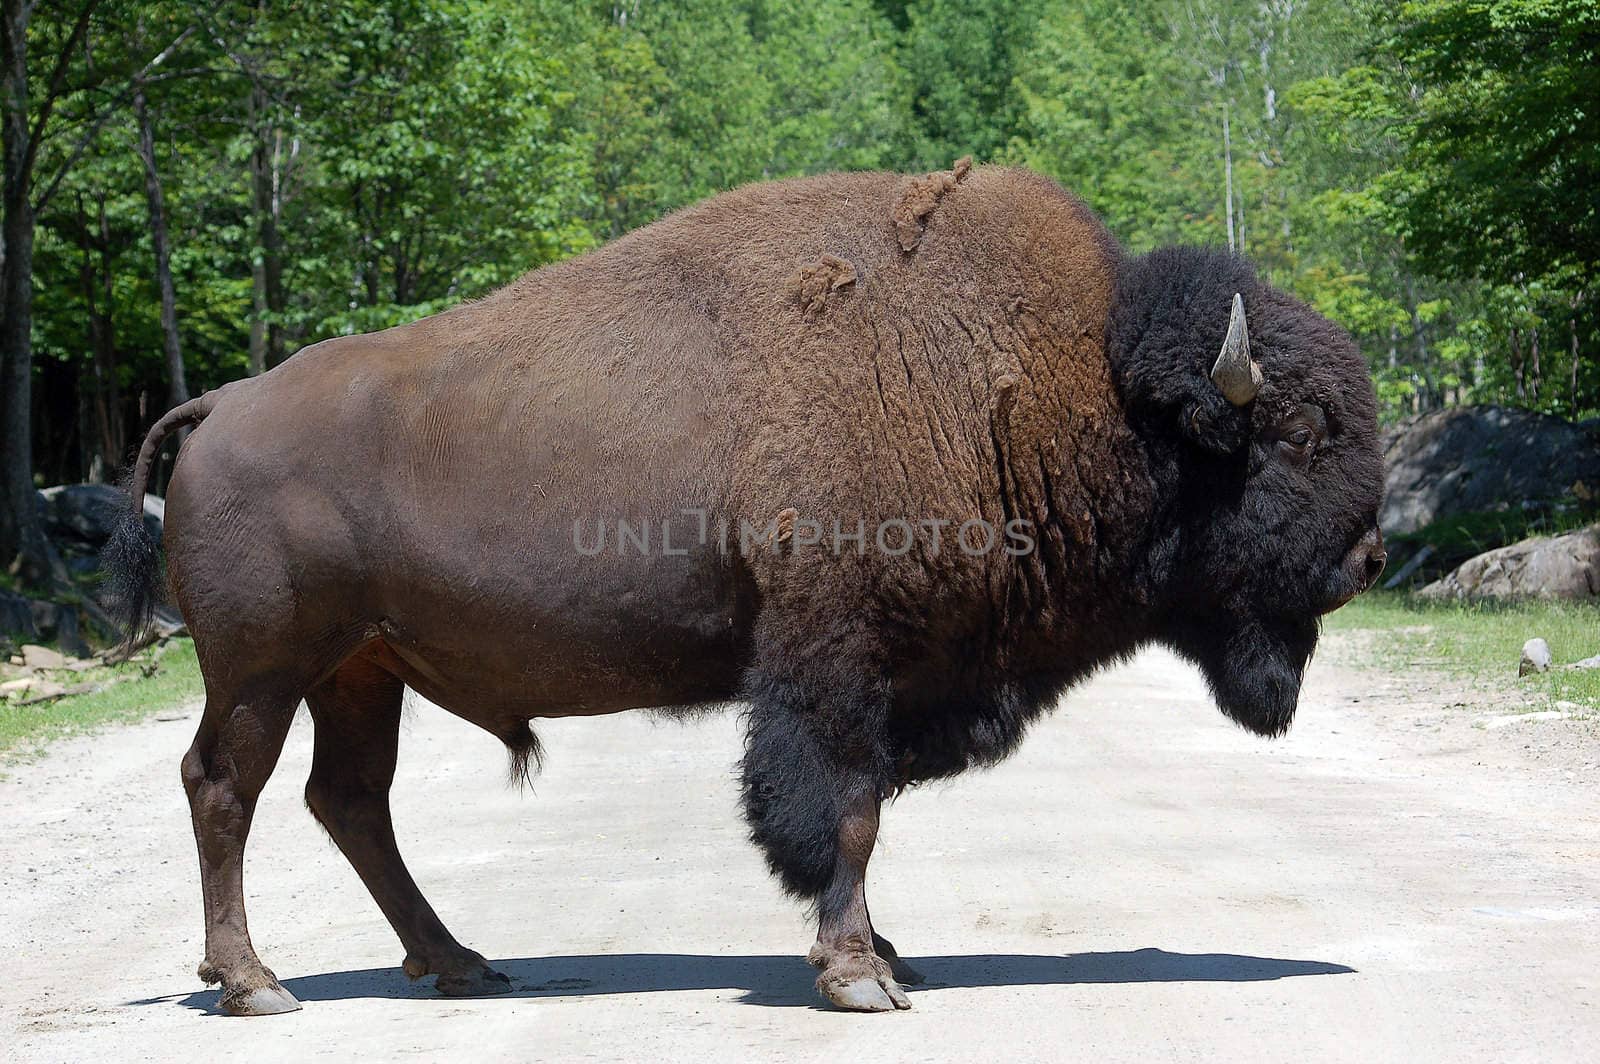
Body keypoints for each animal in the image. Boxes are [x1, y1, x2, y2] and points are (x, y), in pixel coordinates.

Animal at [109, 157, 1388, 1011]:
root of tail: (221, 405)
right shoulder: (834, 659)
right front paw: (860, 976)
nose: (1370, 558)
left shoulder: (891, 675)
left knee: (349, 800)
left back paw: (457, 962)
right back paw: (256, 982)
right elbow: (843, 813)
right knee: (224, 787)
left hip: (361, 669)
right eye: (1300, 430)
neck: (1055, 382)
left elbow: (859, 819)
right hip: (265, 667)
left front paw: (890, 954)